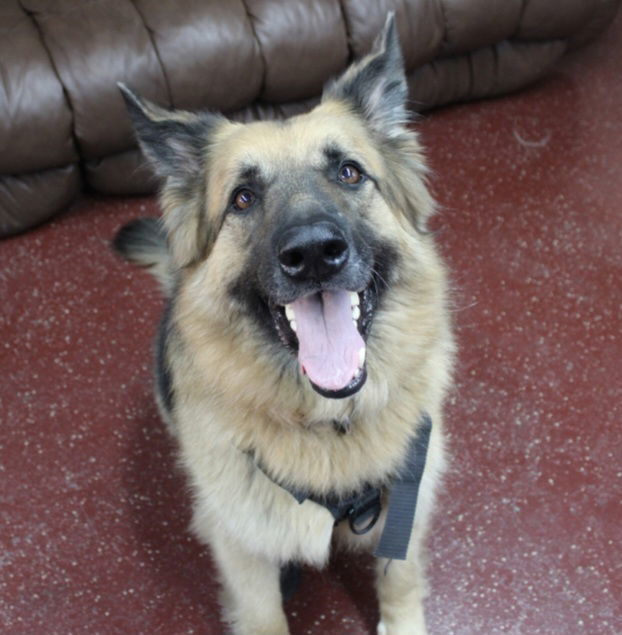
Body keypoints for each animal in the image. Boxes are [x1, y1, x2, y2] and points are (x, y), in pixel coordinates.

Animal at [113, 14, 454, 635]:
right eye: (244, 198)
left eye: (349, 172)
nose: (314, 253)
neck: (328, 425)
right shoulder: (242, 546)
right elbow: (263, 611)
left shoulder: (406, 507)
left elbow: (399, 577)